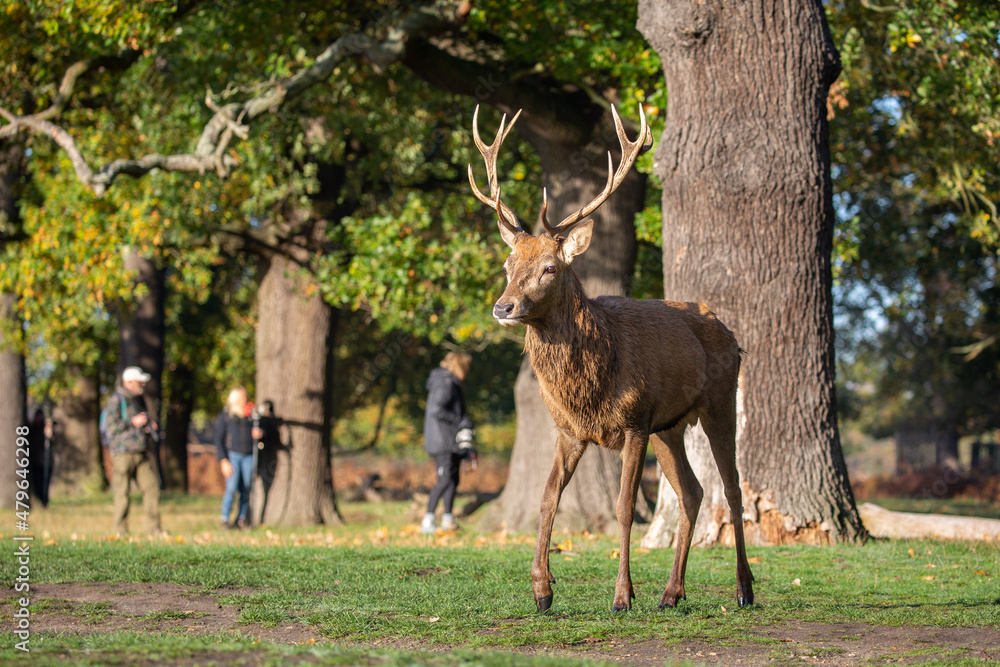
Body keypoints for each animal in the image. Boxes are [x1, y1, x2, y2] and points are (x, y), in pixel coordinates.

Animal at [468, 104, 755, 613]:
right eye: (506, 266)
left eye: (549, 268)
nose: (504, 307)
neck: (590, 385)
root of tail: (730, 334)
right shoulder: (569, 430)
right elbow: (548, 498)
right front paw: (542, 591)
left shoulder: (634, 422)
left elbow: (623, 508)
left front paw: (622, 596)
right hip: (670, 426)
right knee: (693, 492)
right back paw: (671, 593)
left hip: (719, 402)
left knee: (733, 489)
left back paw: (743, 589)